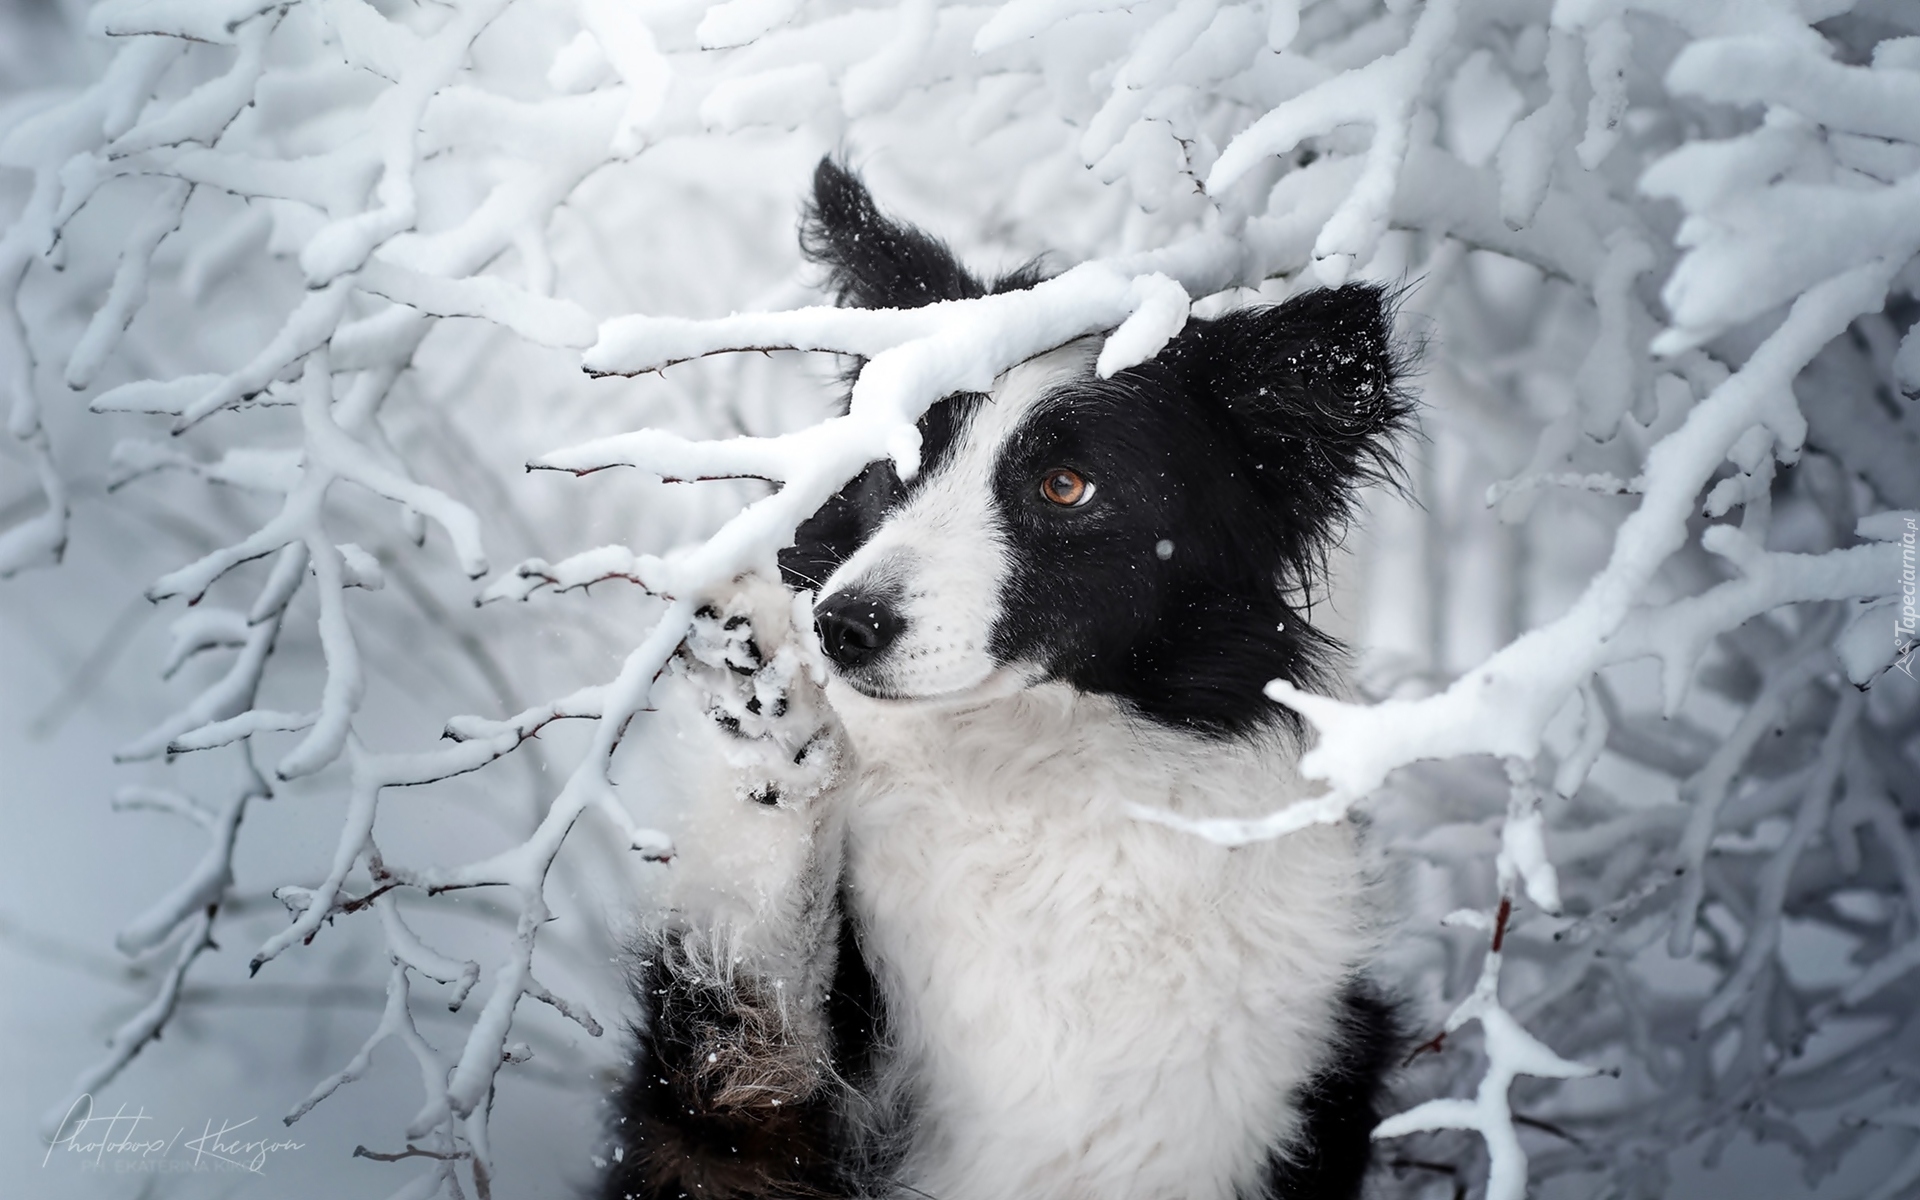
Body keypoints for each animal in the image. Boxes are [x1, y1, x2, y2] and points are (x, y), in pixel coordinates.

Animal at [606, 161, 1420, 1198]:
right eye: (900, 459)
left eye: (1066, 487)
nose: (841, 626)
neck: (1023, 790)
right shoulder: (722, 1135)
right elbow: (748, 1031)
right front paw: (773, 739)